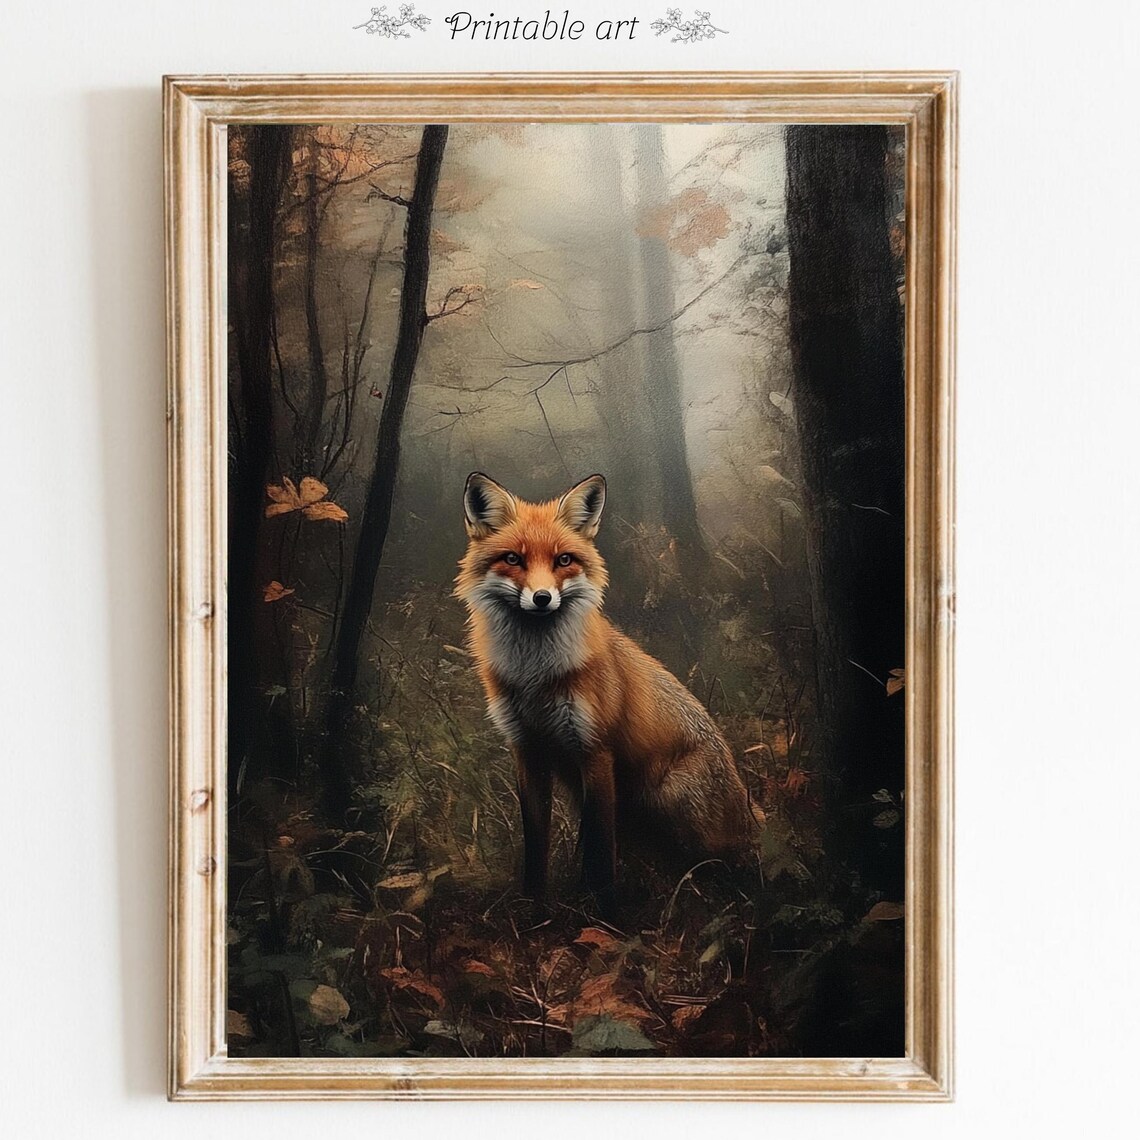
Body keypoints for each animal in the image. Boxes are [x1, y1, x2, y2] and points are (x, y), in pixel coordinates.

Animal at [454, 471, 753, 914]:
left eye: (563, 560)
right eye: (513, 559)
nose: (542, 598)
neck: (535, 676)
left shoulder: (595, 750)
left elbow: (598, 847)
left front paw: (601, 913)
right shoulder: (527, 750)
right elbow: (535, 841)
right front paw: (534, 907)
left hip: (670, 799)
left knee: (723, 863)